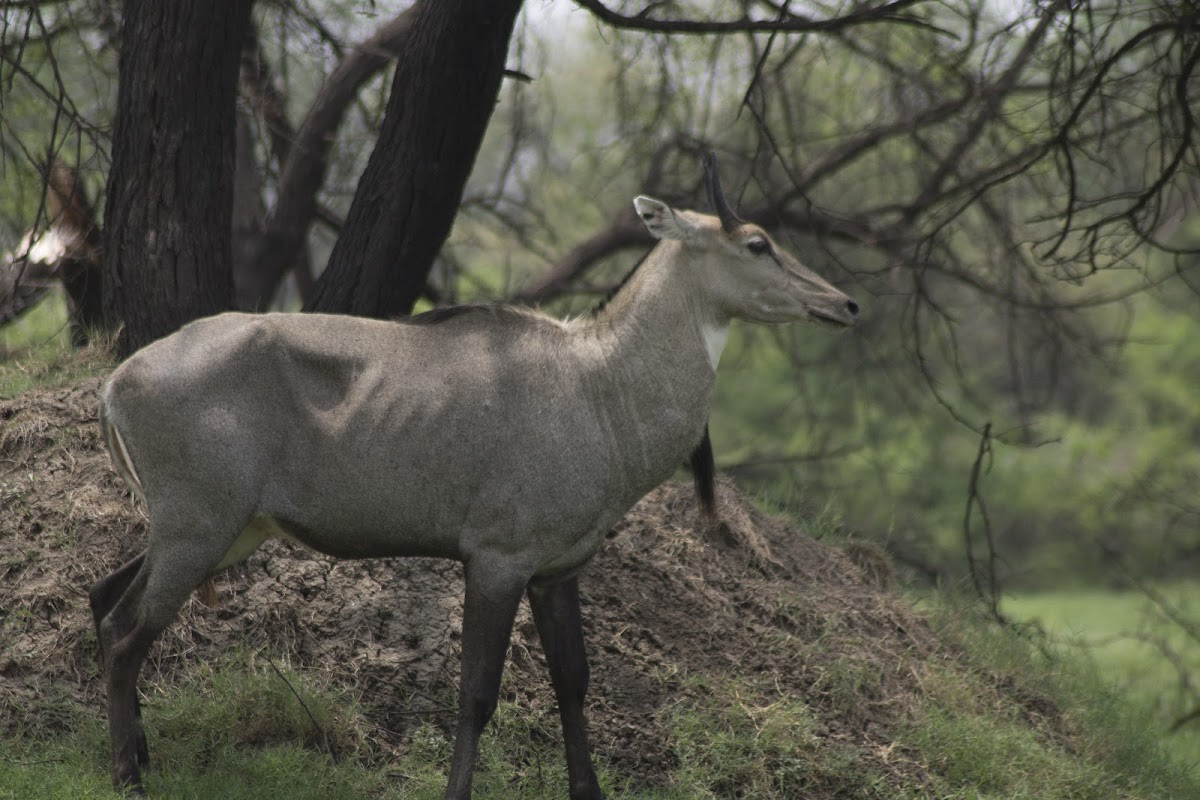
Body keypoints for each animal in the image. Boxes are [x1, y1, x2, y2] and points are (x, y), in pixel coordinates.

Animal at [93, 154, 859, 796]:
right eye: (757, 243)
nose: (845, 303)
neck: (601, 388)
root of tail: (115, 382)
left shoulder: (557, 568)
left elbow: (573, 682)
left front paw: (588, 791)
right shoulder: (496, 558)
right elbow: (477, 692)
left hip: (228, 530)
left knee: (105, 602)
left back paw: (139, 754)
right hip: (198, 525)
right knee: (129, 634)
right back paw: (128, 774)